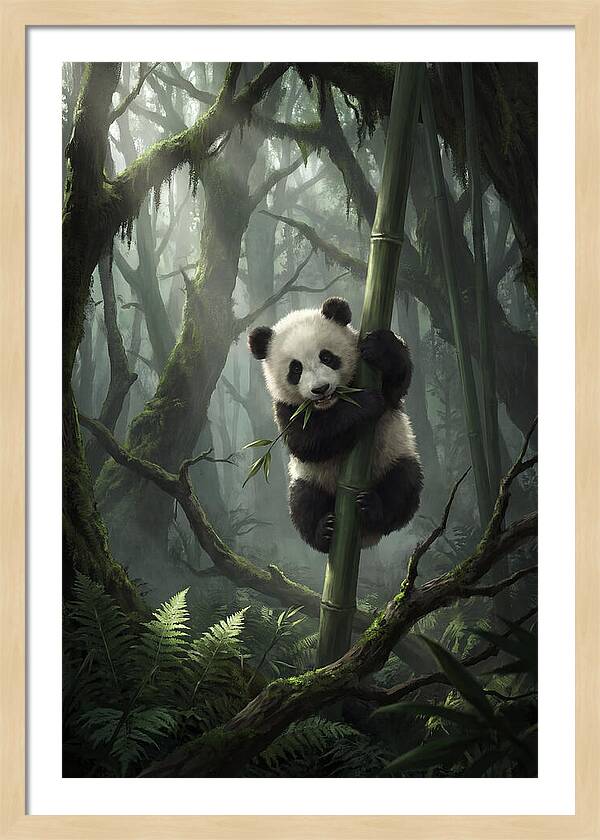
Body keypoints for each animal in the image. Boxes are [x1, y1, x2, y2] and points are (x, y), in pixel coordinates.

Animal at [248, 296, 423, 553]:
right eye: (295, 368)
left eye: (327, 357)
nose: (320, 389)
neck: (332, 404)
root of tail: (366, 538)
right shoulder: (286, 408)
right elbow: (307, 441)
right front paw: (365, 403)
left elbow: (397, 384)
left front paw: (380, 347)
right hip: (310, 479)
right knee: (303, 502)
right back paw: (325, 531)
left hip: (393, 456)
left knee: (403, 484)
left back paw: (373, 509)